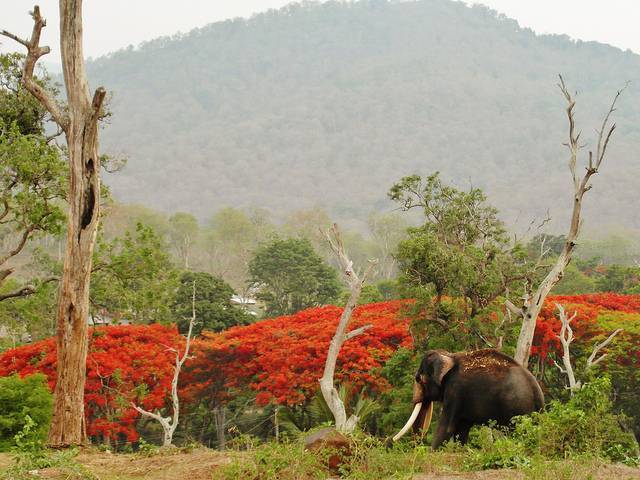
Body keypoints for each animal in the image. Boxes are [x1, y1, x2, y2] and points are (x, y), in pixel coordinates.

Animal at [392, 346, 544, 448]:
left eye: (418, 379)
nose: (389, 441)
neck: (449, 356)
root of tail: (537, 392)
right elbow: (462, 428)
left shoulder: (455, 390)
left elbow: (447, 428)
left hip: (517, 407)